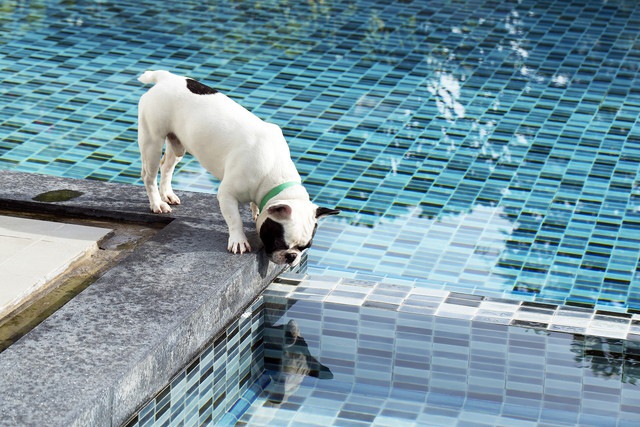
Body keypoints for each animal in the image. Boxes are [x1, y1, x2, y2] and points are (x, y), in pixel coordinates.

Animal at [137, 70, 338, 266]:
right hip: (152, 141)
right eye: (279, 242)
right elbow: (235, 219)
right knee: (149, 175)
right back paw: (157, 203)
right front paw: (239, 241)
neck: (275, 176)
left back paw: (167, 194)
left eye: (305, 247)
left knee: (167, 166)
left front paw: (256, 211)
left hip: (177, 145)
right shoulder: (227, 195)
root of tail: (166, 77)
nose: (291, 256)